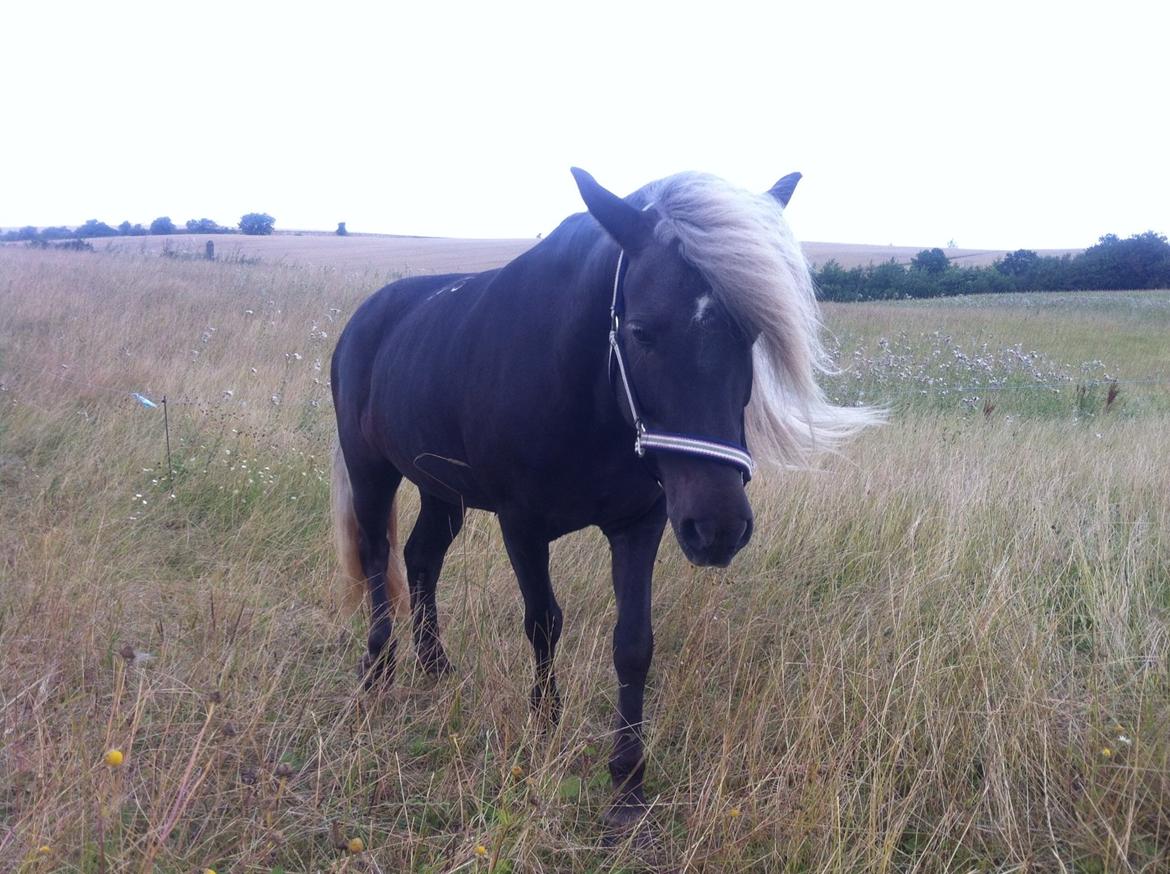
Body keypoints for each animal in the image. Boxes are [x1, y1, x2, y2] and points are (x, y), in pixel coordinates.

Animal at [329, 166, 879, 833]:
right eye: (641, 331)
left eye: (751, 333)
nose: (719, 527)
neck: (583, 395)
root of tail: (366, 318)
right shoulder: (522, 525)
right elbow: (543, 622)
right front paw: (546, 725)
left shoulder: (642, 524)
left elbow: (634, 643)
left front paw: (627, 783)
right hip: (372, 471)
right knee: (378, 557)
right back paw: (379, 670)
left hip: (442, 490)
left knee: (420, 557)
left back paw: (434, 666)